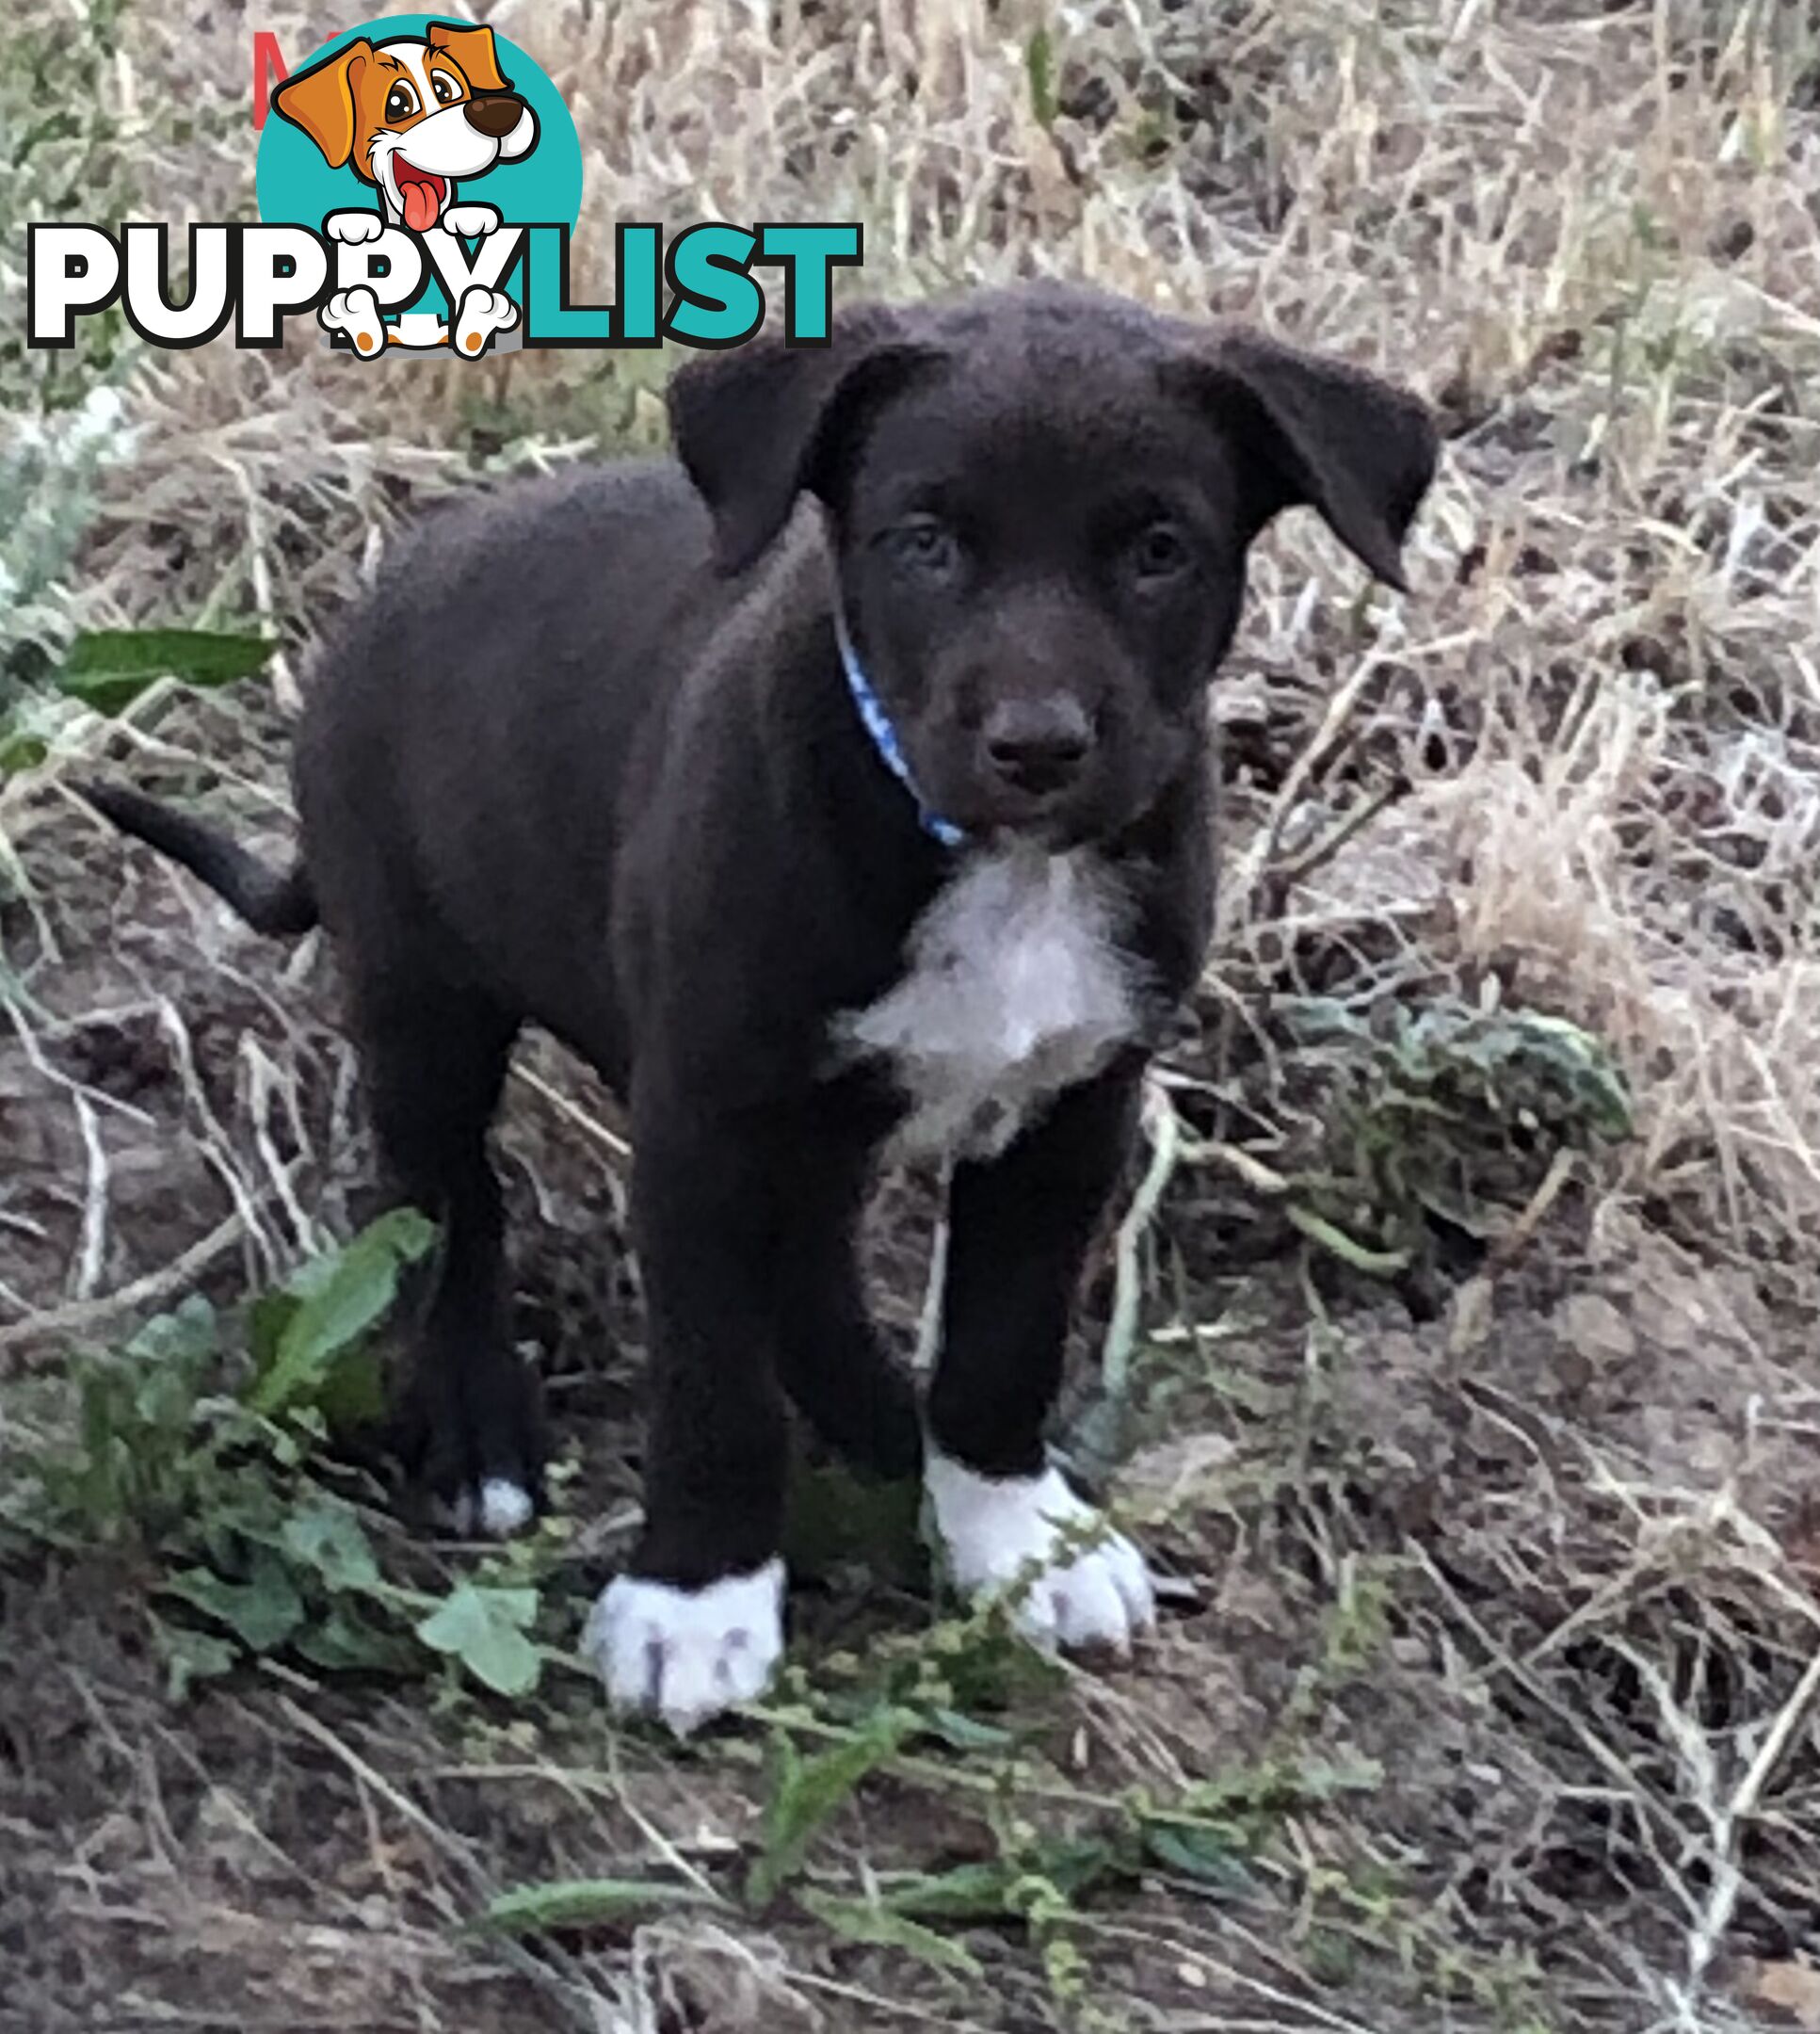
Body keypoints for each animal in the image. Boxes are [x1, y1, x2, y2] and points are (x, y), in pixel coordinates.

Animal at [89, 282, 1440, 1733]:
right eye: (923, 542)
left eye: (1156, 549)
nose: (1034, 746)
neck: (992, 863)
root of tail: (388, 587)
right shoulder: (704, 1119)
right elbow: (713, 1380)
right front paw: (697, 1599)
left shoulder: (1069, 1110)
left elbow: (1002, 1340)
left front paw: (1009, 1528)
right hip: (420, 987)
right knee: (439, 1197)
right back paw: (474, 1425)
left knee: (798, 1269)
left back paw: (886, 1428)